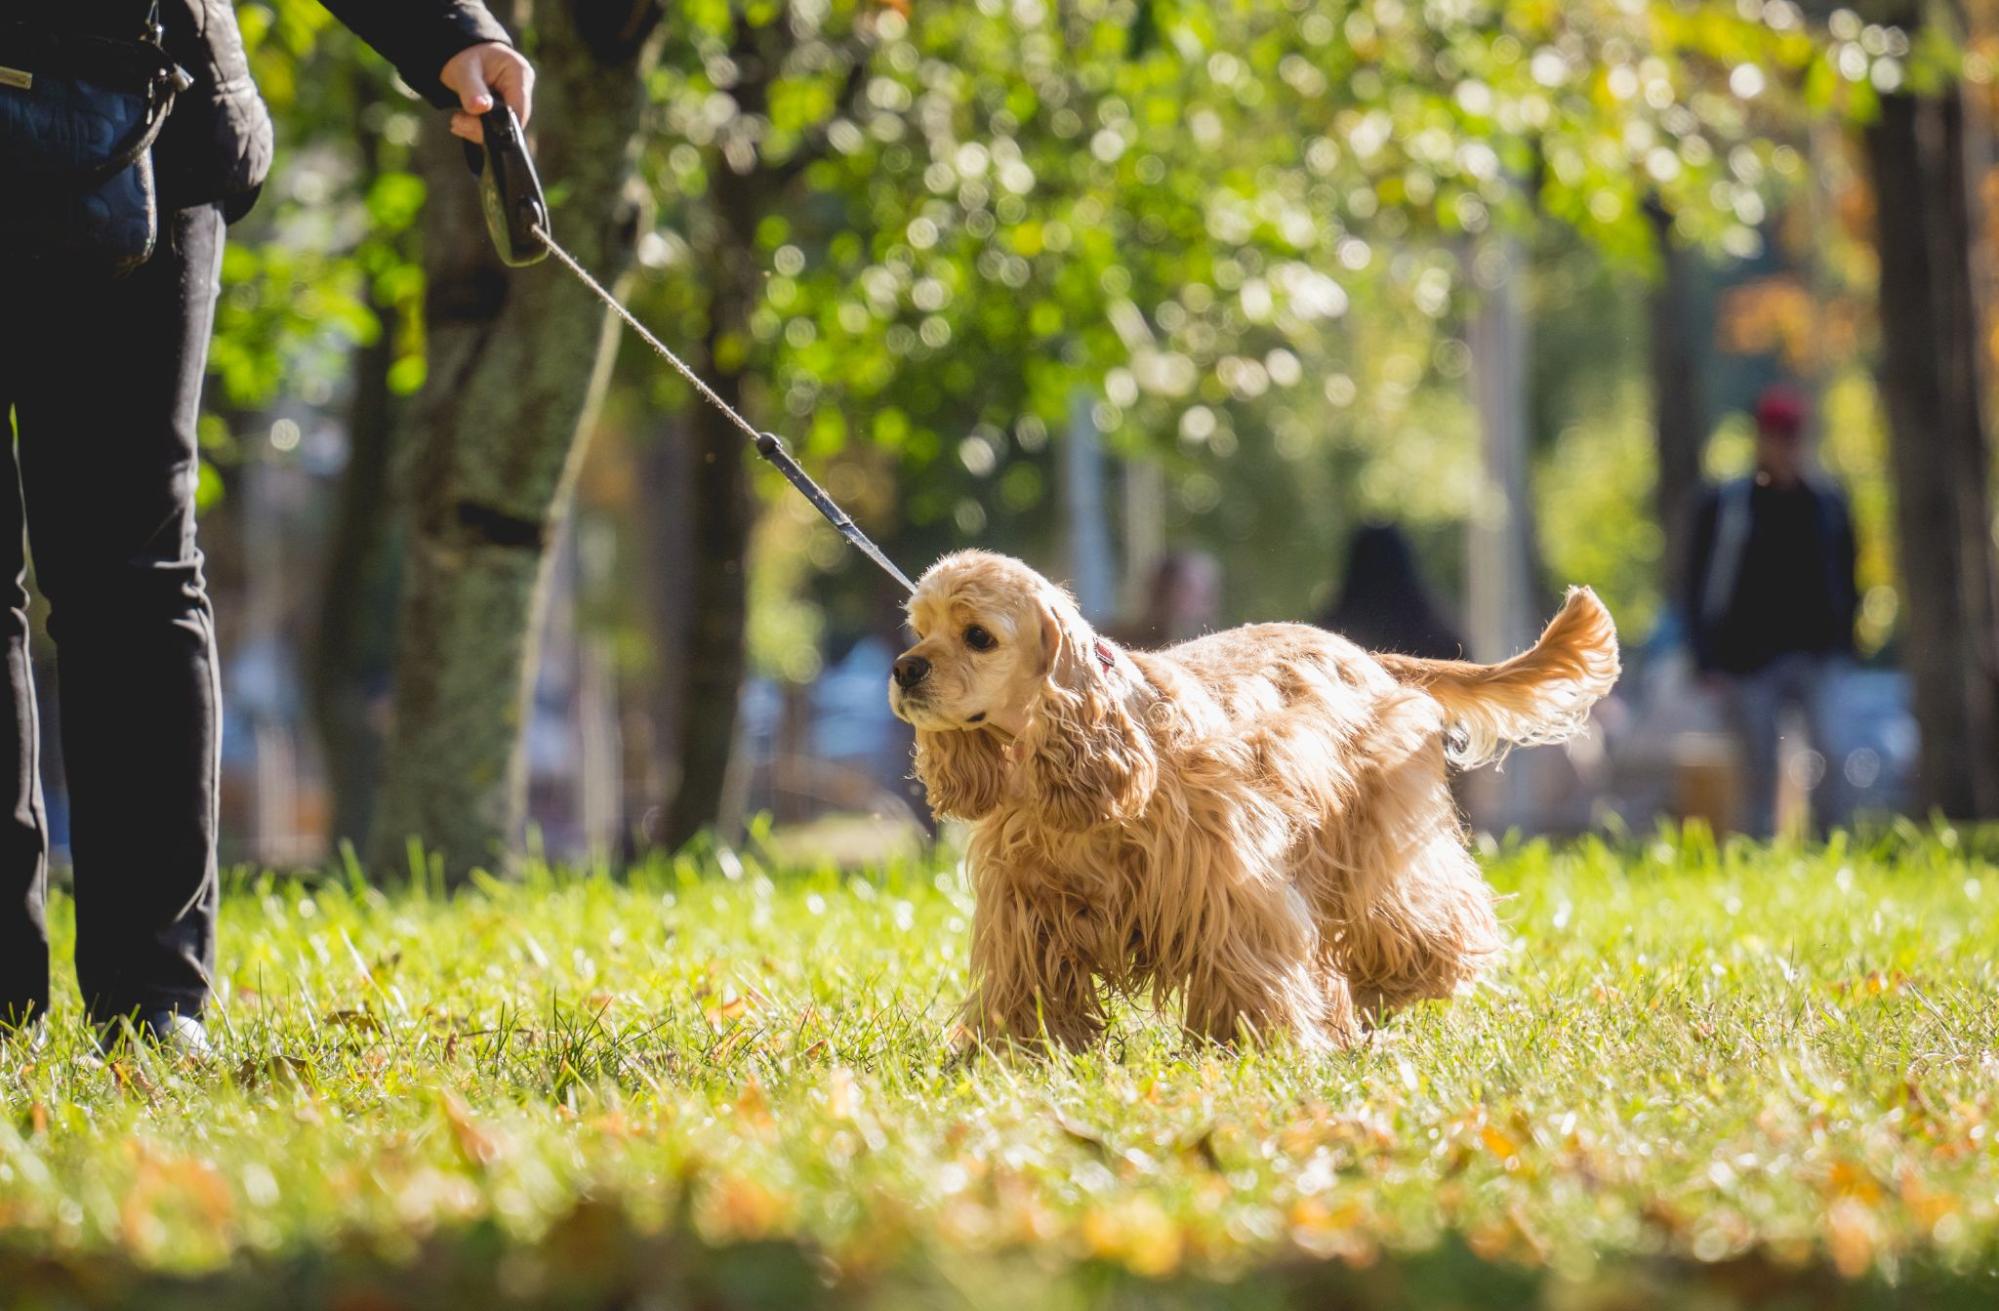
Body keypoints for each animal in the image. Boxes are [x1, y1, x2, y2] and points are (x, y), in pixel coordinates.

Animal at [891, 547, 1623, 1047]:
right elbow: (1028, 984)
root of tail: (1371, 658)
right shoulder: (1027, 903)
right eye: (919, 628)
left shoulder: (1230, 877)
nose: (905, 668)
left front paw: (1243, 1046)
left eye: (978, 636)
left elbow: (1242, 966)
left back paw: (1397, 986)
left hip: (1375, 846)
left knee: (1425, 921)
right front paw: (1017, 1051)